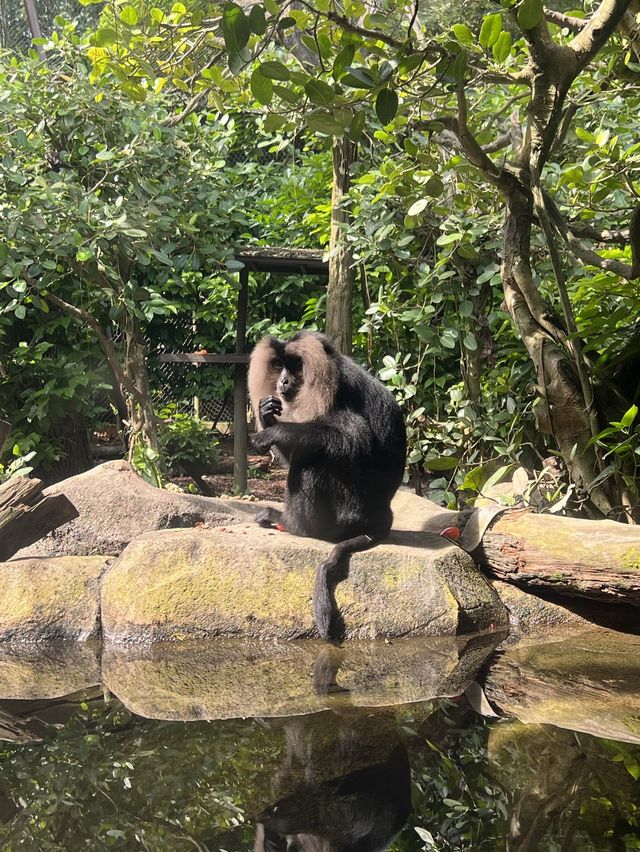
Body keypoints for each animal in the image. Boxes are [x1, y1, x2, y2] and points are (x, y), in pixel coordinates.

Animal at [248, 332, 408, 640]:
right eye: (279, 365)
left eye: (295, 365)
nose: (283, 382)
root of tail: (383, 518)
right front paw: (266, 415)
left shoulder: (342, 395)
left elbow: (354, 440)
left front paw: (276, 430)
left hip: (347, 515)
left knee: (314, 462)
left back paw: (291, 523)